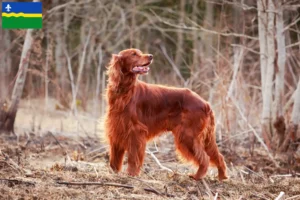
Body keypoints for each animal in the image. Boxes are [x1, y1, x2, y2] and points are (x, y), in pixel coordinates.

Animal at [105, 48, 227, 181]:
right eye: (133, 54)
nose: (150, 56)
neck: (124, 91)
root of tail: (205, 103)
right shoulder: (116, 129)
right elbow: (114, 159)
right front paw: (113, 173)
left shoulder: (135, 132)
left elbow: (133, 157)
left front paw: (131, 174)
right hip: (203, 138)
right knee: (218, 156)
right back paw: (222, 176)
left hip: (188, 135)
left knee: (205, 158)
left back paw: (197, 176)